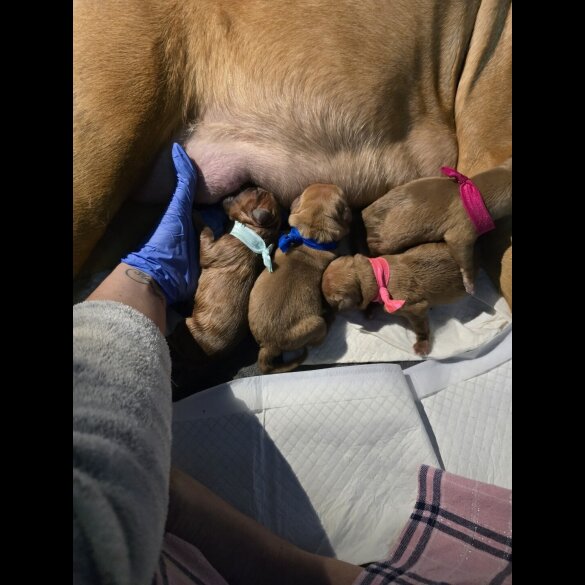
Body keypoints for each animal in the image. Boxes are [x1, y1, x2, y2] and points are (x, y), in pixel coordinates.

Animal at [172, 187, 280, 360]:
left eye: (252, 190)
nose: (248, 184)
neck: (255, 232)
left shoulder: (210, 249)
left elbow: (206, 230)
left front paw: (196, 214)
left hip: (188, 327)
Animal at [320, 243, 466, 354]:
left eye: (329, 302)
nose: (325, 310)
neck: (378, 276)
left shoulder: (416, 309)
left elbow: (421, 327)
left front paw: (421, 345)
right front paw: (369, 310)